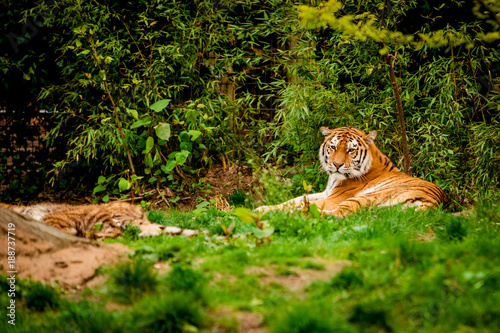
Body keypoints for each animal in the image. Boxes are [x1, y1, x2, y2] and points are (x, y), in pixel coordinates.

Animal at [256, 124, 448, 215]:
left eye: (350, 150)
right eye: (333, 147)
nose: (336, 165)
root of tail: (433, 203)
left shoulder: (334, 198)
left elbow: (301, 202)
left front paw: (264, 210)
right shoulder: (326, 193)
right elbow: (295, 199)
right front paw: (264, 207)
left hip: (365, 197)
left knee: (338, 213)